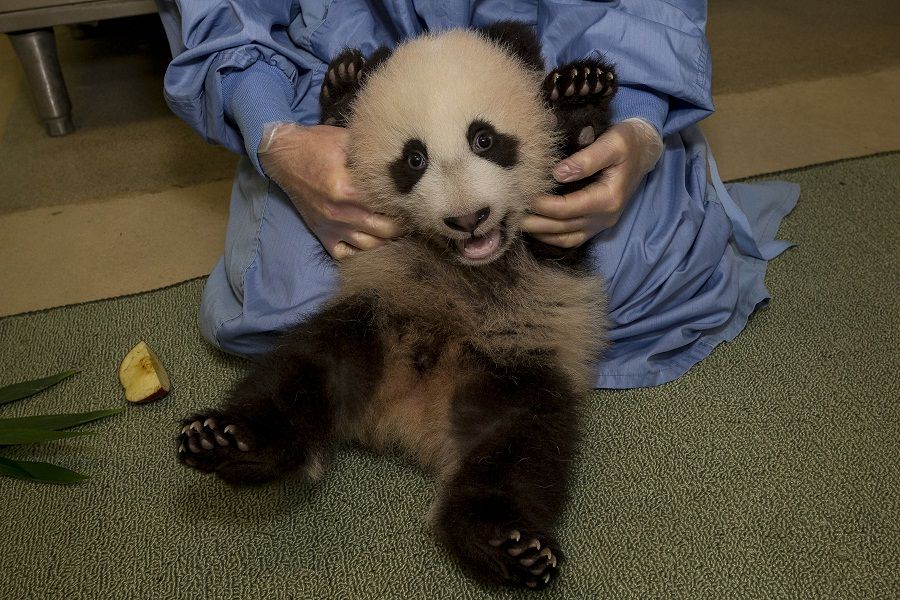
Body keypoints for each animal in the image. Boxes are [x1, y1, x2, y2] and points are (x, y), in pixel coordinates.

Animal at [178, 22, 616, 590]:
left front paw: (580, 96)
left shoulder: (551, 258)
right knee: (299, 372)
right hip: (368, 321)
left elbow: (566, 210)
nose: (468, 218)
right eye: (414, 159)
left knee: (523, 448)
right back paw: (231, 442)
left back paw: (505, 541)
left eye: (484, 139)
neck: (467, 261)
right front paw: (343, 81)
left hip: (516, 369)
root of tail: (408, 418)